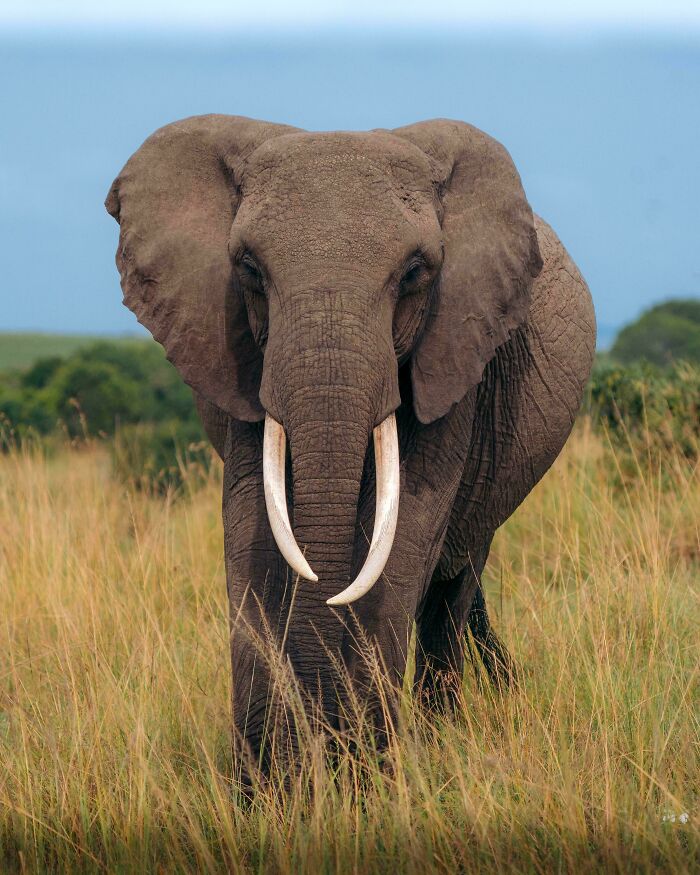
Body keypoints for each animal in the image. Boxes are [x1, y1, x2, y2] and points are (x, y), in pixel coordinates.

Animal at [106, 115, 595, 773]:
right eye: (249, 268)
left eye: (415, 272)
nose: (323, 748)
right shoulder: (244, 356)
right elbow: (252, 523)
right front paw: (269, 784)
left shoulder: (455, 348)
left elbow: (406, 525)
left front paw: (365, 774)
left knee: (451, 587)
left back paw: (436, 738)